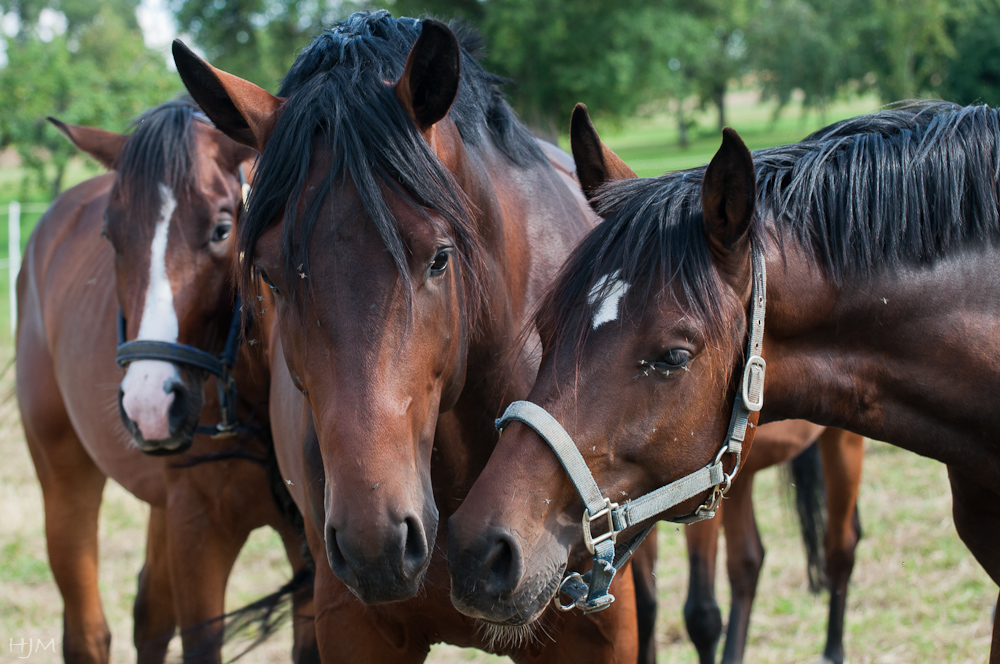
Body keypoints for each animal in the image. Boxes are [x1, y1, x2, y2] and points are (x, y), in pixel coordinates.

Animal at [18, 98, 316, 664]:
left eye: (223, 229)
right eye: (110, 235)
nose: (149, 405)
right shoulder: (197, 531)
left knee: (150, 618)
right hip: (65, 480)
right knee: (88, 632)